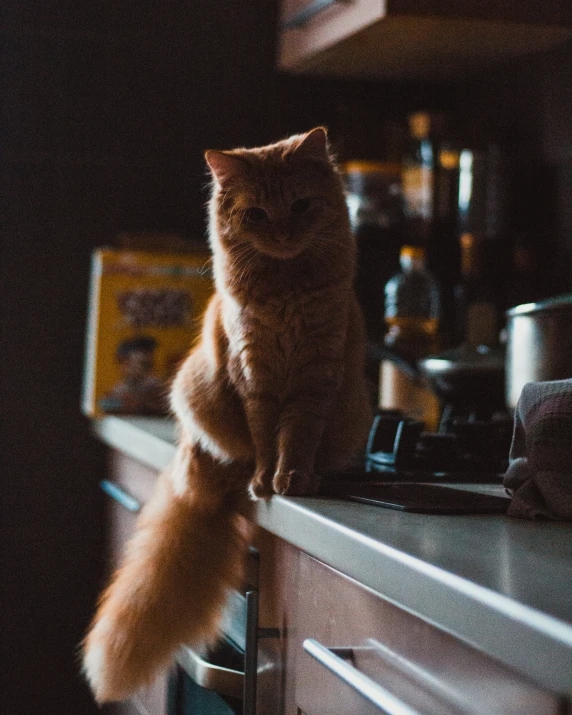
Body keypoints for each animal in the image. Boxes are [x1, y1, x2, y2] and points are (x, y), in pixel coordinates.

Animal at [82, 126, 374, 704]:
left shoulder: (313, 381)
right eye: (256, 214)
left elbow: (296, 439)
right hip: (198, 396)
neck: (285, 286)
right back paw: (243, 476)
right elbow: (265, 439)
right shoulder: (254, 378)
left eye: (301, 206)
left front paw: (294, 479)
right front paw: (266, 479)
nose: (281, 234)